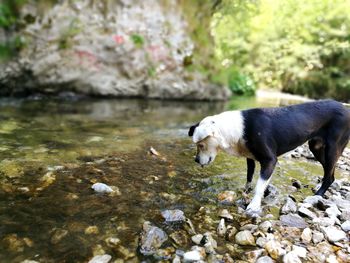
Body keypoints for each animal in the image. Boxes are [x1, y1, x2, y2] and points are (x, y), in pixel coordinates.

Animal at [189, 100, 350, 218]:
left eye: (201, 145)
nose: (196, 160)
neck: (237, 130)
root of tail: (344, 107)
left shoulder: (270, 161)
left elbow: (259, 185)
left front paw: (254, 206)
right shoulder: (250, 159)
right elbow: (249, 178)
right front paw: (245, 192)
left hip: (332, 149)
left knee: (329, 176)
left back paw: (318, 195)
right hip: (316, 148)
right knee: (330, 173)